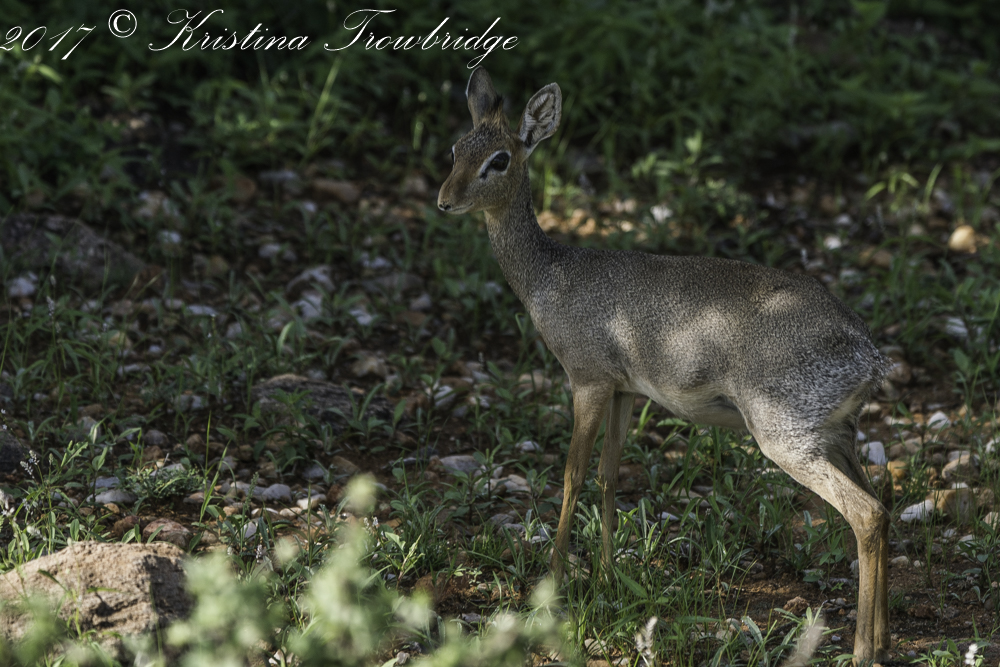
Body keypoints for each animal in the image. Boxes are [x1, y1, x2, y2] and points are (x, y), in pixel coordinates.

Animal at [436, 67, 891, 664]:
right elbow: (608, 474)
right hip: (839, 435)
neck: (549, 276)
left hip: (786, 437)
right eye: (455, 148)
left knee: (865, 513)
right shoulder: (625, 390)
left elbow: (571, 474)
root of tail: (869, 354)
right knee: (882, 505)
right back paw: (882, 638)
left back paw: (862, 649)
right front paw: (606, 575)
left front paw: (552, 583)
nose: (445, 200)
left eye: (500, 159)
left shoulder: (587, 379)